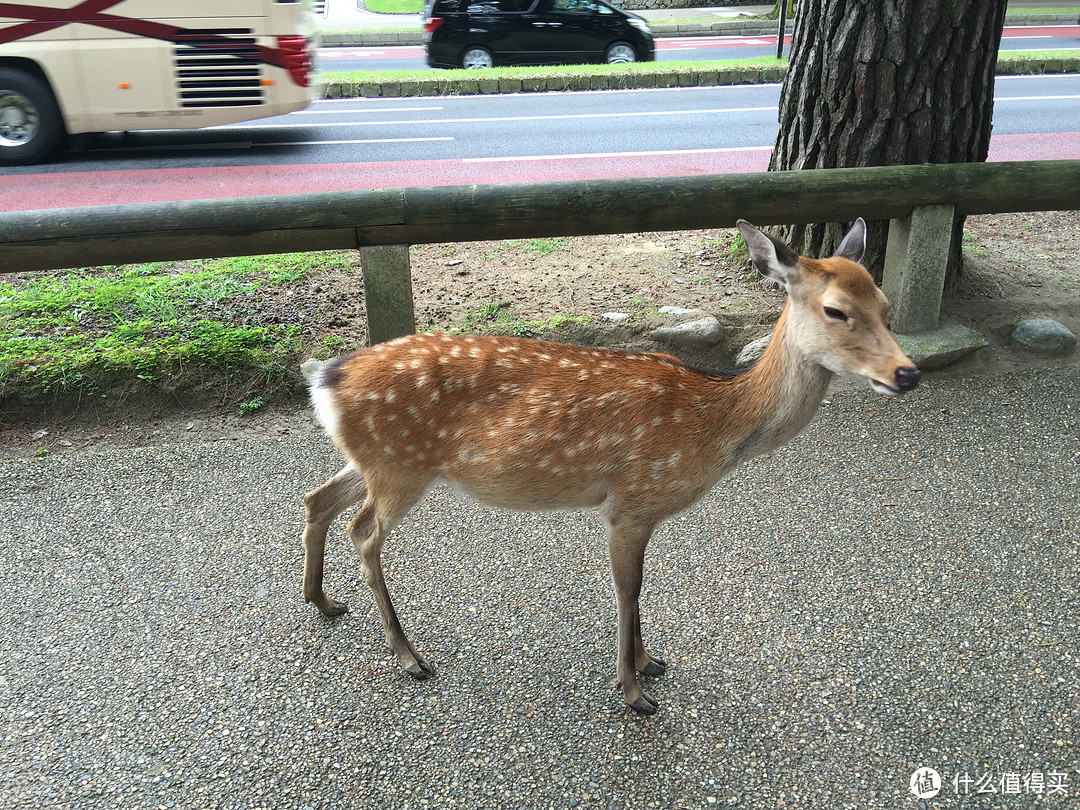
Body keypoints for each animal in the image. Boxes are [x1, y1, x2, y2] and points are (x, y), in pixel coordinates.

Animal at [302, 219, 920, 712]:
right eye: (836, 309)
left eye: (887, 308)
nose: (908, 373)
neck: (717, 424)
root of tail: (324, 379)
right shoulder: (632, 501)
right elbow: (630, 589)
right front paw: (633, 689)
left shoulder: (637, 508)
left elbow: (637, 589)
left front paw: (649, 662)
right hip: (400, 466)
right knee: (362, 531)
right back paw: (409, 656)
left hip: (378, 459)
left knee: (317, 498)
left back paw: (322, 601)